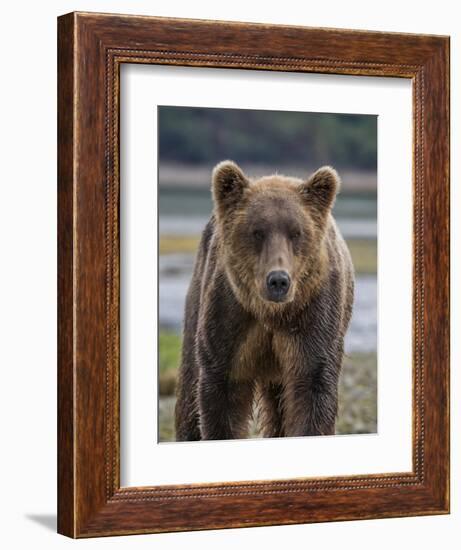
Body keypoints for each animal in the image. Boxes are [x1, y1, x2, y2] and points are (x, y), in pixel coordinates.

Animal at [174, 162, 354, 442]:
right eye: (257, 231)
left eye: (296, 232)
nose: (278, 280)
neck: (271, 313)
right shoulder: (230, 316)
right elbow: (221, 393)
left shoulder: (313, 317)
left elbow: (312, 389)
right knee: (190, 387)